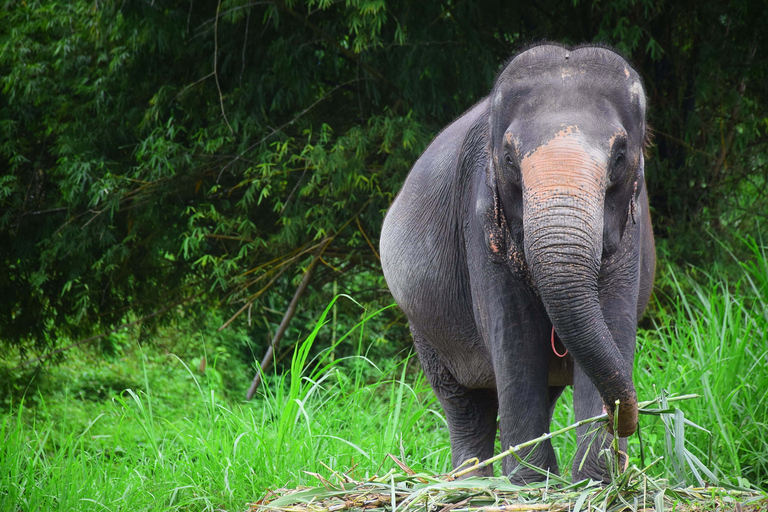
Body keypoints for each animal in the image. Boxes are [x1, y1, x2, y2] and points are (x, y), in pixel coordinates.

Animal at [378, 45, 656, 484]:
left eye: (619, 154)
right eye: (509, 158)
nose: (626, 418)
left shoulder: (631, 230)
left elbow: (613, 319)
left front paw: (597, 481)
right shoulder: (480, 218)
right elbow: (515, 334)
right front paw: (530, 483)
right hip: (424, 327)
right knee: (466, 404)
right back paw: (473, 483)